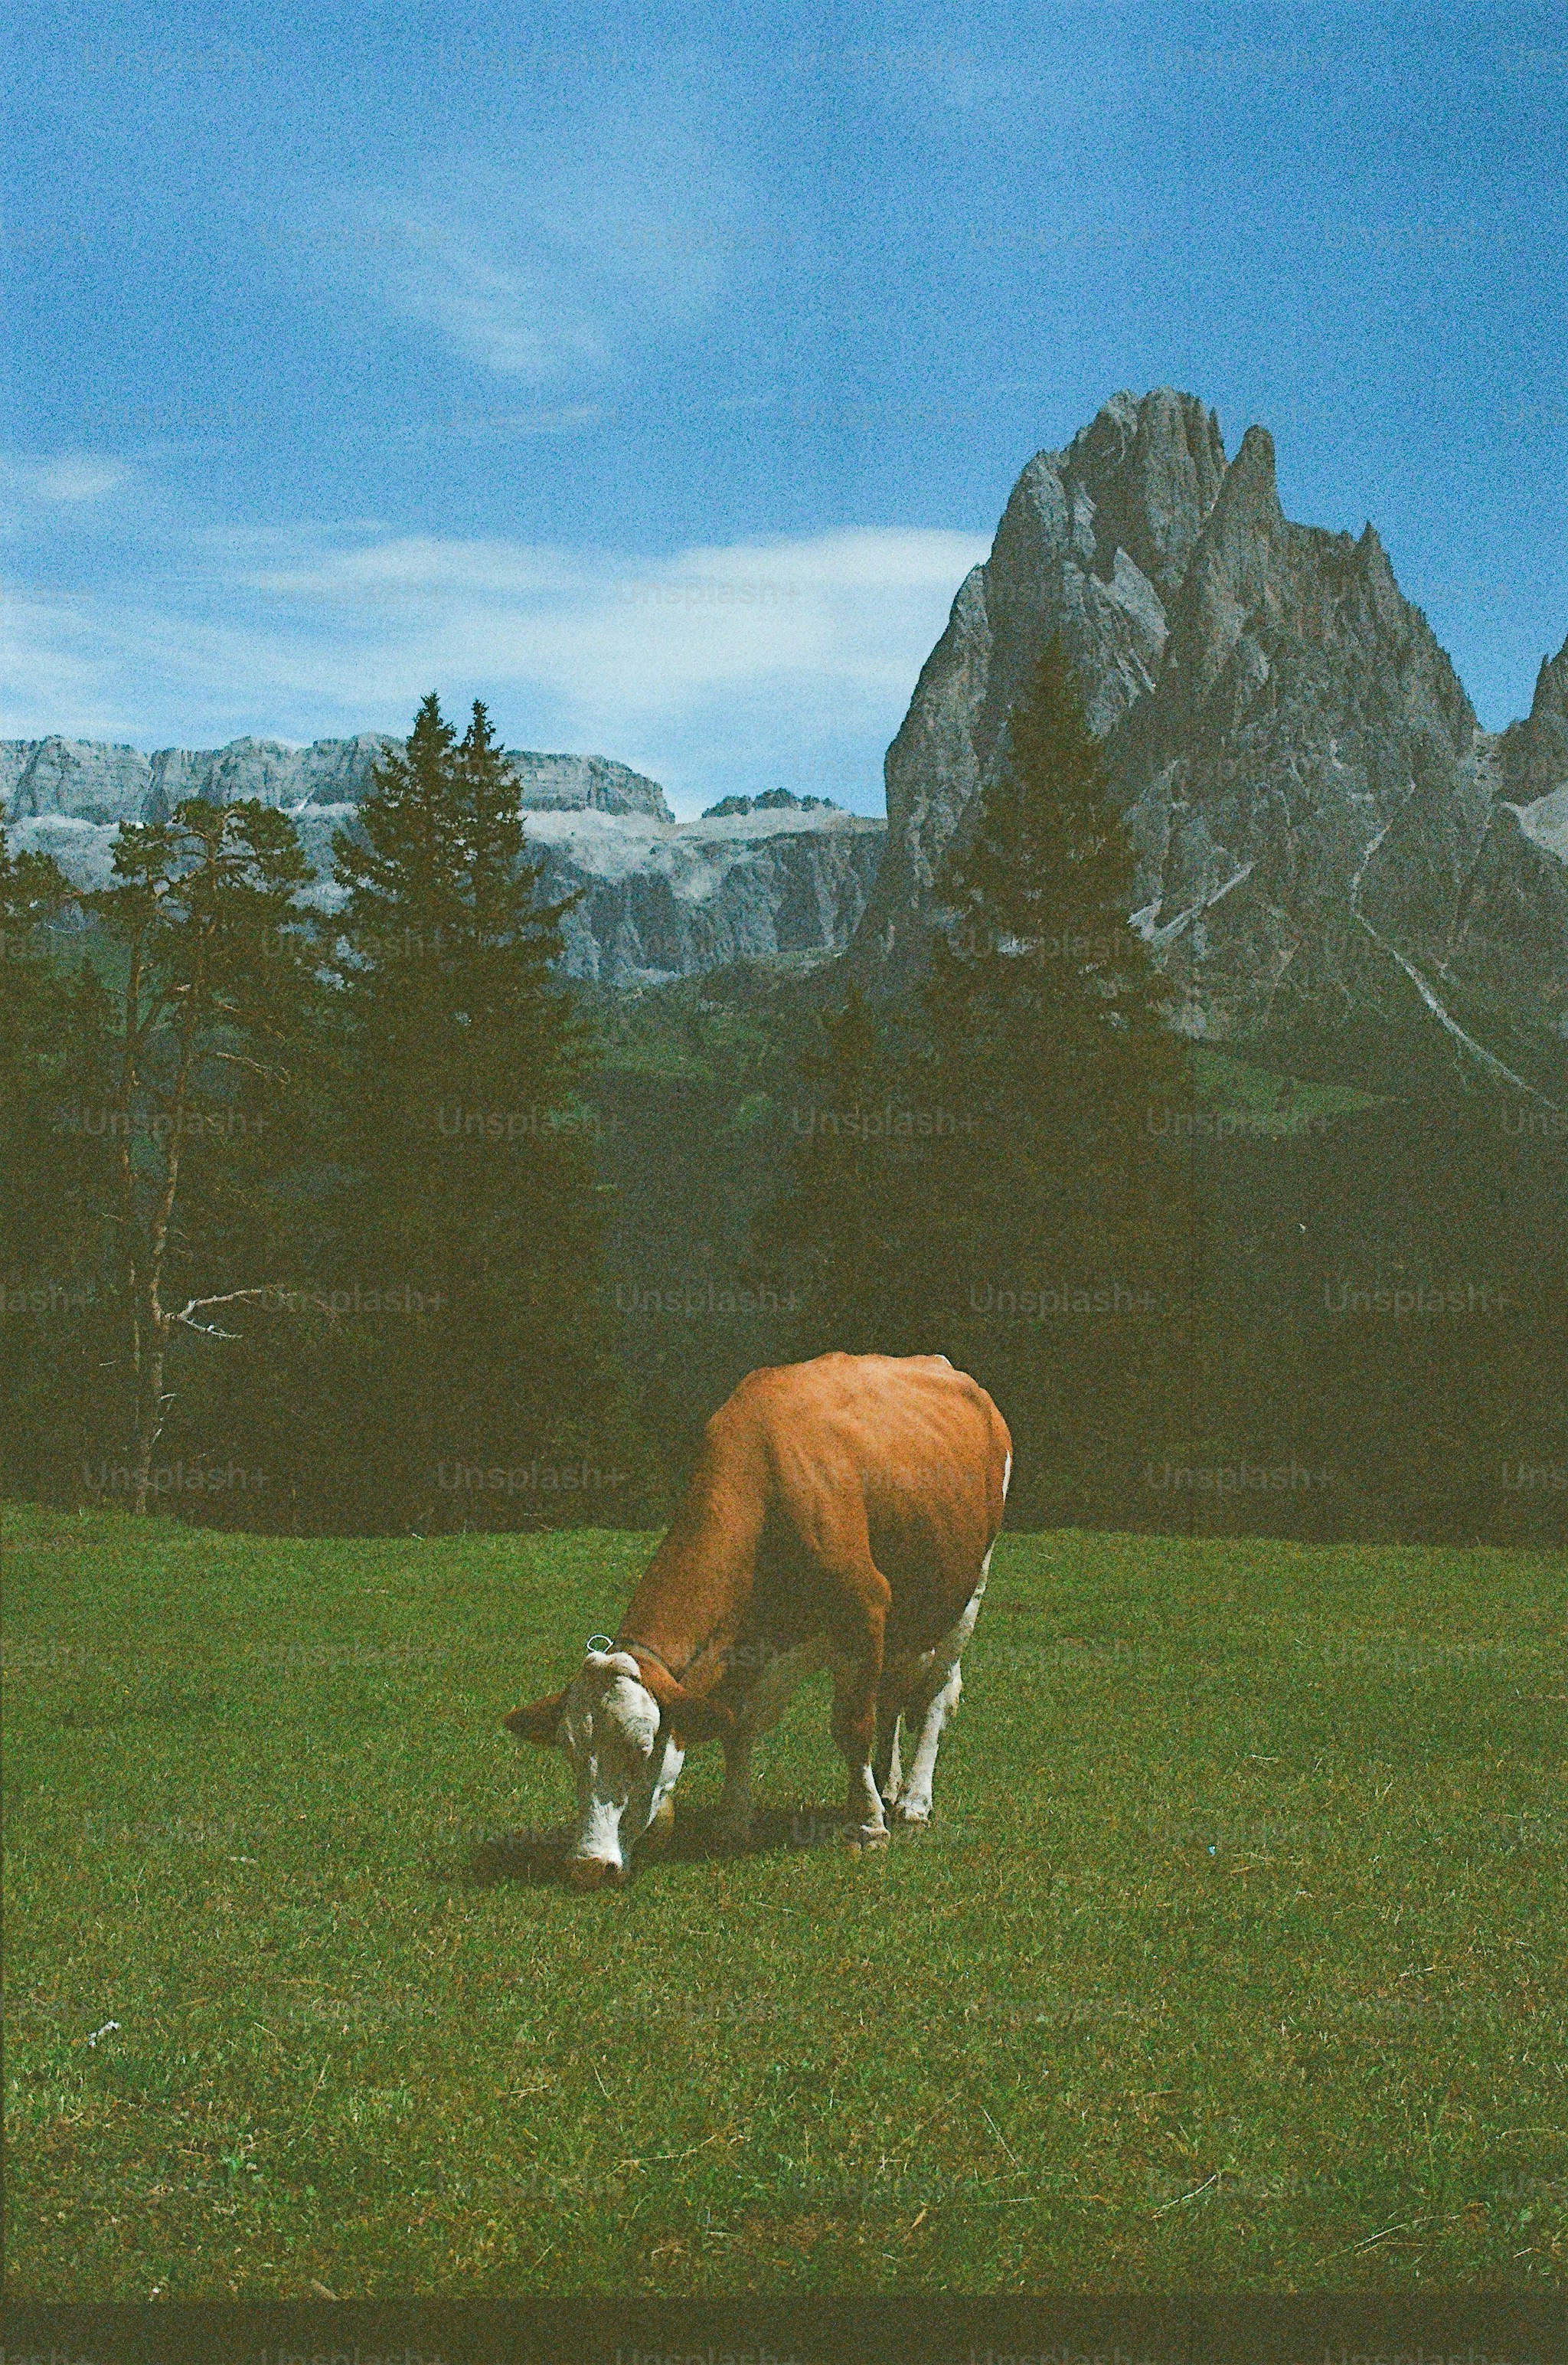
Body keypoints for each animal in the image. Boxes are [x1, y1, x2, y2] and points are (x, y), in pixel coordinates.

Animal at [503, 1351, 1011, 1889]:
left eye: (641, 1749)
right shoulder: (750, 1648)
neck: (767, 1484)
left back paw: (913, 1801)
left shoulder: (864, 1608)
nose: (587, 1865)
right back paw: (890, 1786)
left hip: (966, 1591)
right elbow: (737, 1725)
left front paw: (868, 1826)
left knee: (934, 1695)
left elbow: (853, 1725)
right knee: (892, 1697)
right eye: (570, 1752)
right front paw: (733, 1819)